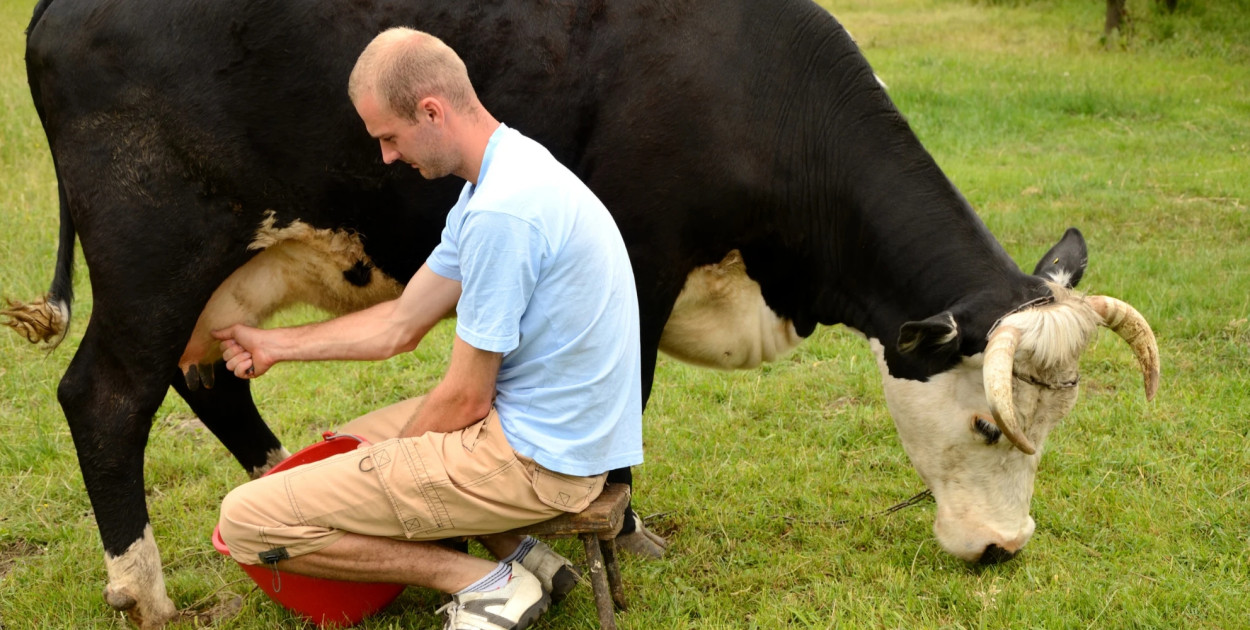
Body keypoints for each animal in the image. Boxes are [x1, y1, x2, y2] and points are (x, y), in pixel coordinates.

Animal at [4, 2, 1155, 627]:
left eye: (1053, 427)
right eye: (985, 425)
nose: (1004, 549)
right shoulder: (636, 259)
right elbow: (623, 406)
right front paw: (627, 529)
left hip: (226, 272)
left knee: (208, 380)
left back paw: (296, 487)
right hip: (154, 248)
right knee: (106, 397)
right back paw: (141, 591)